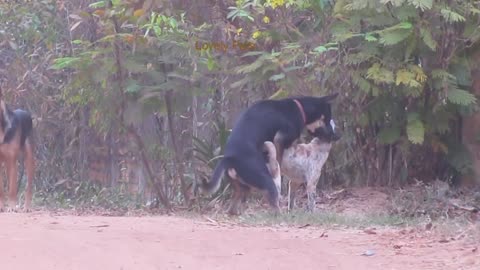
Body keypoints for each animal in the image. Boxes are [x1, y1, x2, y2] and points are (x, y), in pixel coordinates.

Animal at [199, 94, 338, 215]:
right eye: (326, 119)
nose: (336, 136)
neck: (299, 108)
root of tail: (229, 158)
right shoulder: (280, 140)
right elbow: (282, 158)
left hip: (243, 187)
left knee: (233, 208)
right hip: (265, 180)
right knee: (274, 204)